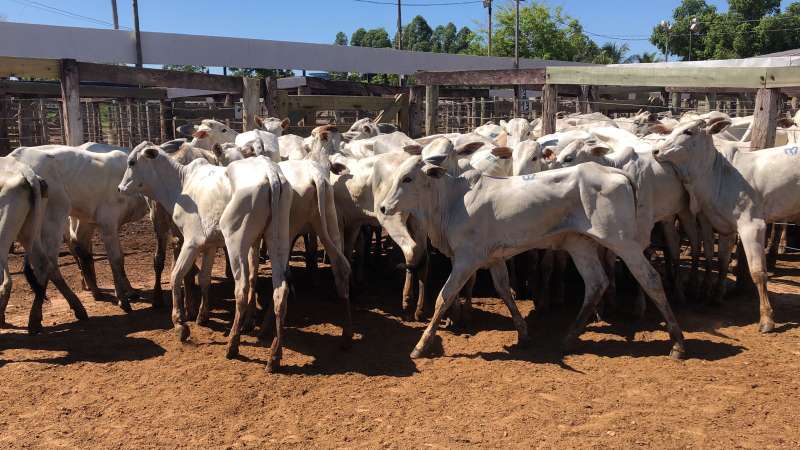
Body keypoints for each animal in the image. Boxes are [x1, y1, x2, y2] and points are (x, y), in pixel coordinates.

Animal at [378, 138, 686, 360]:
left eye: (408, 178)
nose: (382, 207)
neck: (451, 201)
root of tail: (615, 171)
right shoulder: (493, 258)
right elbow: (504, 290)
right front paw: (524, 334)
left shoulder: (466, 259)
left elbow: (444, 297)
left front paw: (421, 345)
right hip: (579, 244)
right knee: (596, 283)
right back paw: (569, 337)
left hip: (622, 241)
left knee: (650, 278)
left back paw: (678, 344)